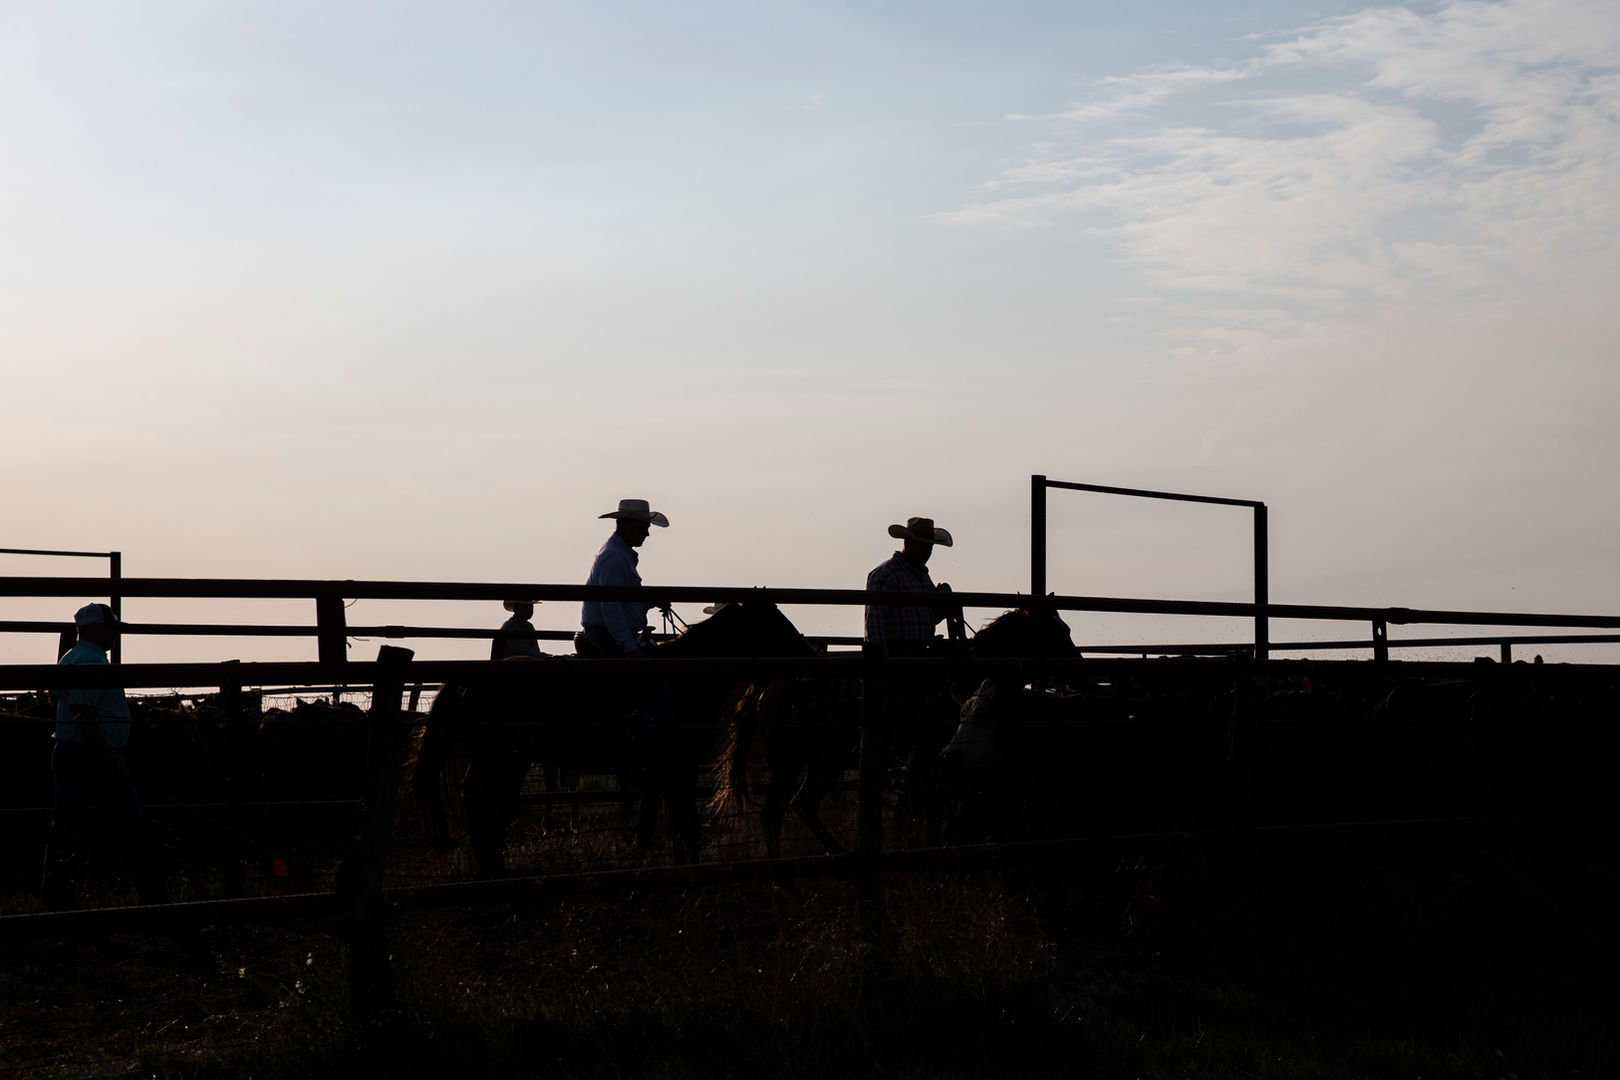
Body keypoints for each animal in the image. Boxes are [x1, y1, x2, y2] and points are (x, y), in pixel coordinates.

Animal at [409, 599, 817, 876]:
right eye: (777, 621)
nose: (809, 652)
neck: (685, 677)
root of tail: (471, 680)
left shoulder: (660, 775)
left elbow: (655, 828)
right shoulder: (676, 769)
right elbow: (686, 828)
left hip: (507, 764)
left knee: (491, 811)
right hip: (502, 762)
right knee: (484, 810)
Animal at [716, 607, 1079, 858]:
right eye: (1057, 631)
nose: (1079, 667)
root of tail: (772, 684)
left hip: (822, 763)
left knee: (799, 806)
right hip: (789, 763)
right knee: (773, 814)